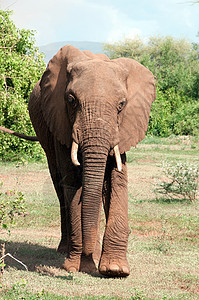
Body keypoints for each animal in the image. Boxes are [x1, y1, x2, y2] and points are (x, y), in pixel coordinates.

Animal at [0, 45, 155, 278]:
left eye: (121, 105)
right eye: (71, 100)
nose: (88, 261)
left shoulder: (125, 127)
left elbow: (116, 181)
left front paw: (115, 270)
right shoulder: (61, 122)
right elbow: (73, 183)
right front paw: (77, 266)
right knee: (59, 184)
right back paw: (66, 250)